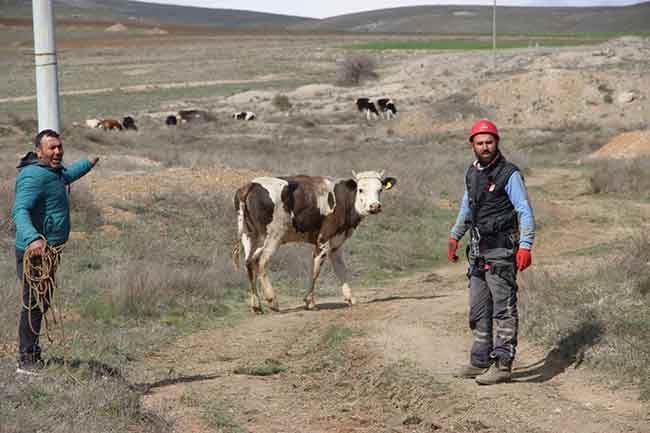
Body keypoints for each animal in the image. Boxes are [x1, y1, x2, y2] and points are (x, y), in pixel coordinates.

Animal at [232, 170, 394, 314]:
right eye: (361, 190)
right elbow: (315, 269)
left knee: (249, 263)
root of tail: (251, 185)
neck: (344, 199)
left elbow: (341, 270)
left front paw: (351, 299)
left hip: (250, 237)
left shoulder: (336, 242)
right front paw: (309, 302)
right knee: (261, 262)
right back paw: (273, 301)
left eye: (380, 189)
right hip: (273, 236)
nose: (375, 206)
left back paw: (256, 306)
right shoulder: (324, 240)